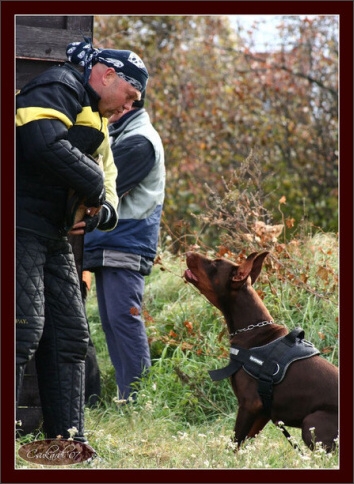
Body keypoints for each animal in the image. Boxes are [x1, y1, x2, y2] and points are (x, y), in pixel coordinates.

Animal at [184, 251, 338, 452]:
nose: (188, 253)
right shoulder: (263, 412)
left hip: (311, 422)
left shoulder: (249, 404)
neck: (253, 330)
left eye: (215, 263)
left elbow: (234, 443)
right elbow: (241, 445)